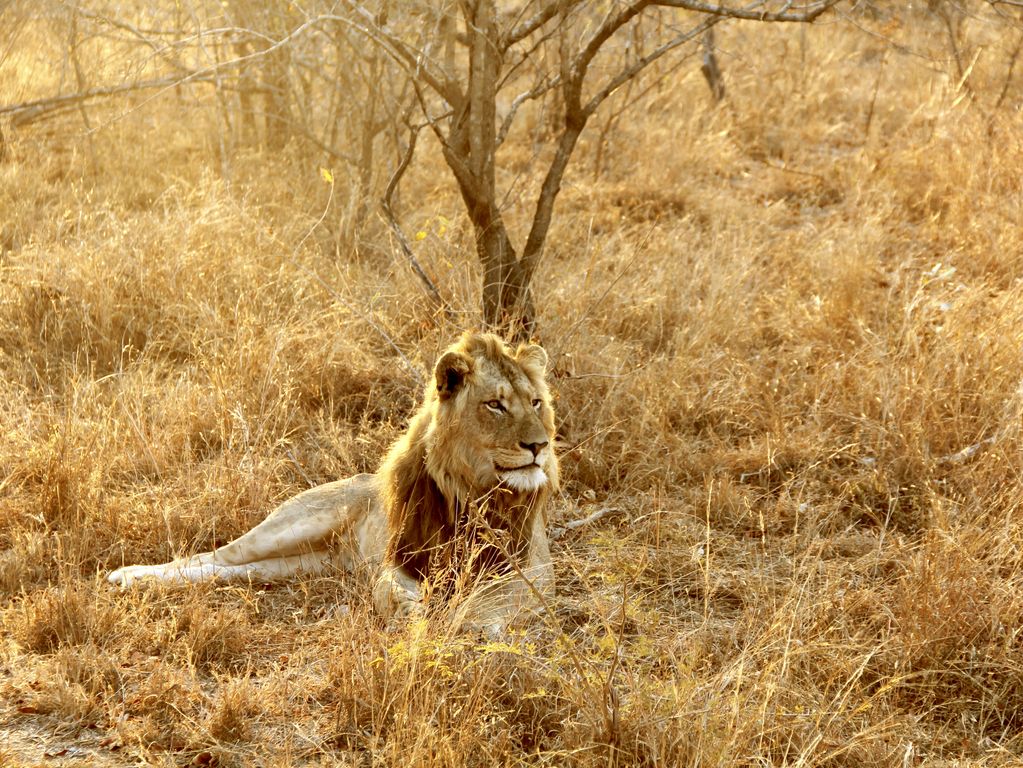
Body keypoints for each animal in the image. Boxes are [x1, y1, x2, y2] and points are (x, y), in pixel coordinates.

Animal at [109, 331, 560, 629]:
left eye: (536, 402)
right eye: (496, 405)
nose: (539, 445)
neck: (472, 490)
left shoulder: (534, 568)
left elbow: (494, 596)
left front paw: (466, 621)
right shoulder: (400, 559)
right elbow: (387, 589)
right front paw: (413, 614)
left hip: (301, 564)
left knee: (229, 570)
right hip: (290, 526)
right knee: (211, 556)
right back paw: (129, 576)